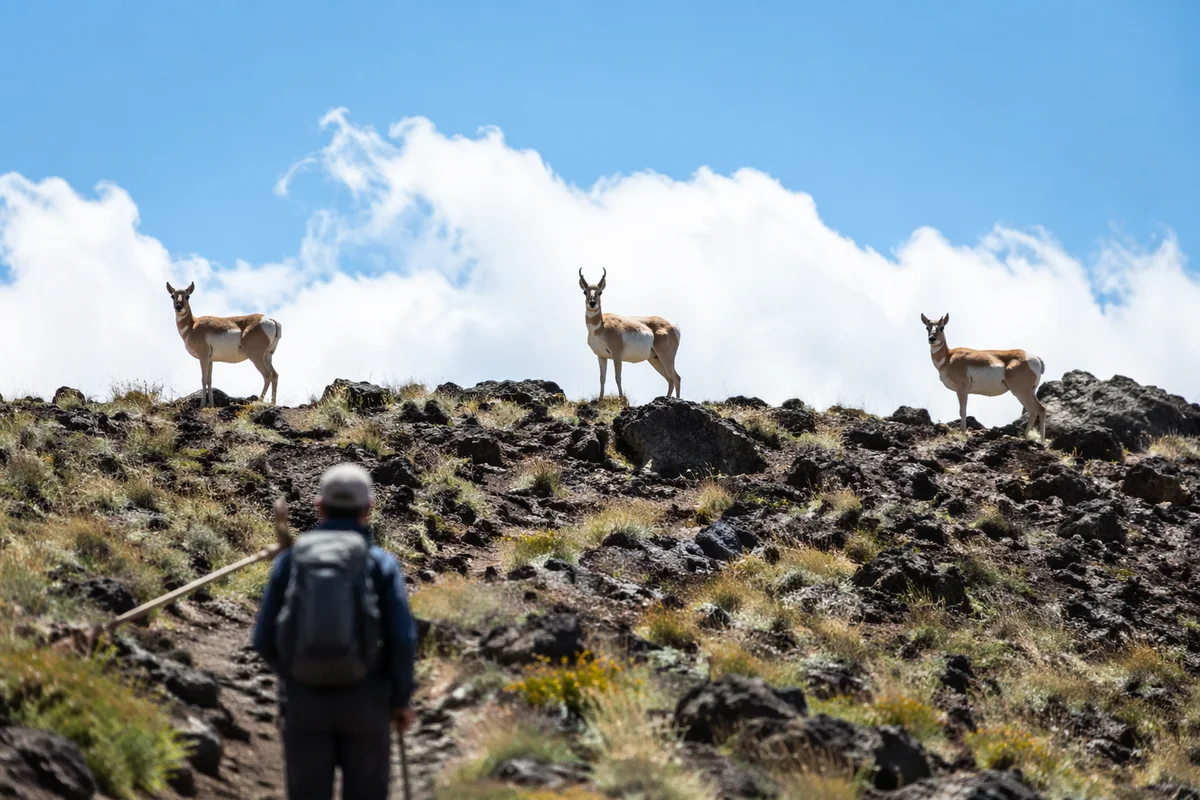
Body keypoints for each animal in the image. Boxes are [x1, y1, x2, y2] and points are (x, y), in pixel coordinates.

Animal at [579, 268, 681, 401]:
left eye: (600, 292)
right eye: (584, 292)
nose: (592, 303)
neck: (601, 327)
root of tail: (673, 326)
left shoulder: (616, 355)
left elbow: (618, 377)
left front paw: (621, 399)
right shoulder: (601, 356)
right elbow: (602, 378)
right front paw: (600, 399)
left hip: (666, 357)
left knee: (676, 378)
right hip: (655, 359)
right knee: (671, 380)